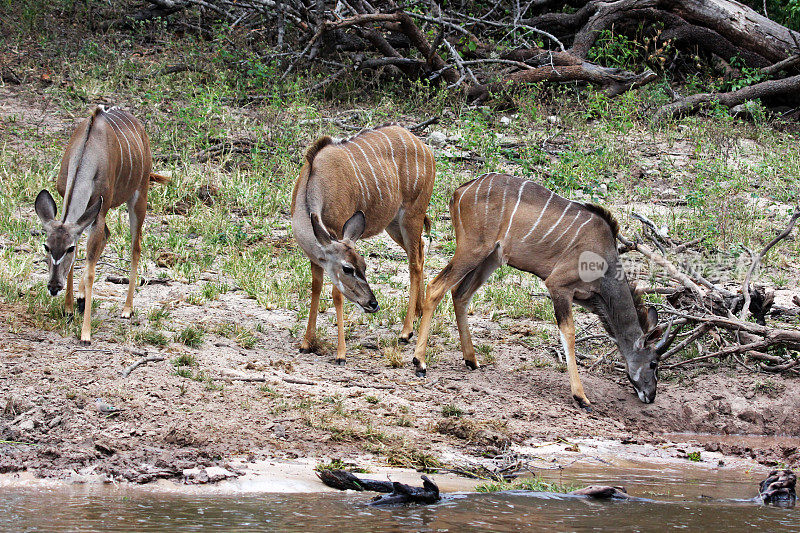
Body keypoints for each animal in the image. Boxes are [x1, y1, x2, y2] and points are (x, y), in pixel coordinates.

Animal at [34, 106, 167, 342]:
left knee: (136, 247)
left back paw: (127, 309)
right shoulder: (78, 209)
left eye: (69, 248)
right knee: (107, 235)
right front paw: (69, 309)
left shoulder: (100, 210)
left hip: (139, 195)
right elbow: (80, 262)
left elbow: (90, 272)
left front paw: (85, 333)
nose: (53, 287)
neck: (87, 154)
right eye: (46, 246)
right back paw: (80, 298)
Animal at [290, 124, 434, 362]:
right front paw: (306, 343)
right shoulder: (316, 256)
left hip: (412, 215)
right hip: (393, 224)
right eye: (349, 269)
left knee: (415, 263)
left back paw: (406, 331)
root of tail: (424, 147)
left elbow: (336, 295)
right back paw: (419, 311)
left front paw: (341, 353)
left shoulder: (337, 232)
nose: (373, 304)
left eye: (365, 267)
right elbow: (316, 288)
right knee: (420, 251)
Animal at [412, 175, 676, 408]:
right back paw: (420, 362)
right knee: (436, 287)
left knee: (460, 294)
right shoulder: (558, 285)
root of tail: (460, 191)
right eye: (654, 364)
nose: (651, 396)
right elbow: (568, 334)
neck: (605, 263)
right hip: (473, 250)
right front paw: (581, 397)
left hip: (492, 258)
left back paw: (472, 360)